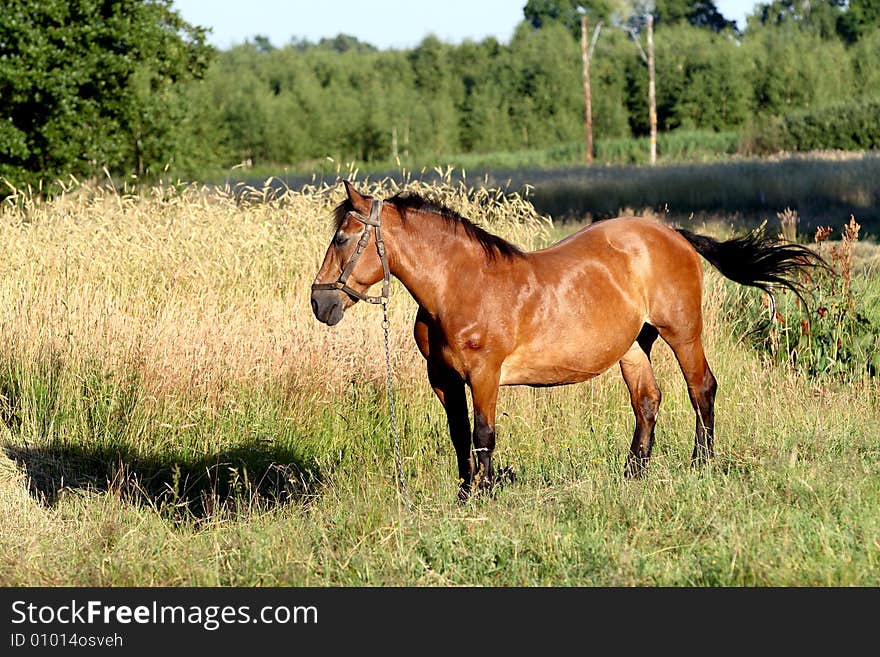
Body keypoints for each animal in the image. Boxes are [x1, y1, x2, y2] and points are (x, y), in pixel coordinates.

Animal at [312, 179, 820, 498]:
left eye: (342, 238)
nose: (320, 303)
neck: (460, 284)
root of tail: (671, 234)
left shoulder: (485, 375)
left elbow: (483, 434)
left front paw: (482, 495)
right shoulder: (444, 379)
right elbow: (459, 436)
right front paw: (464, 492)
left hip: (683, 333)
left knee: (702, 389)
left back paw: (701, 464)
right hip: (634, 346)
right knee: (647, 401)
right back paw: (633, 473)